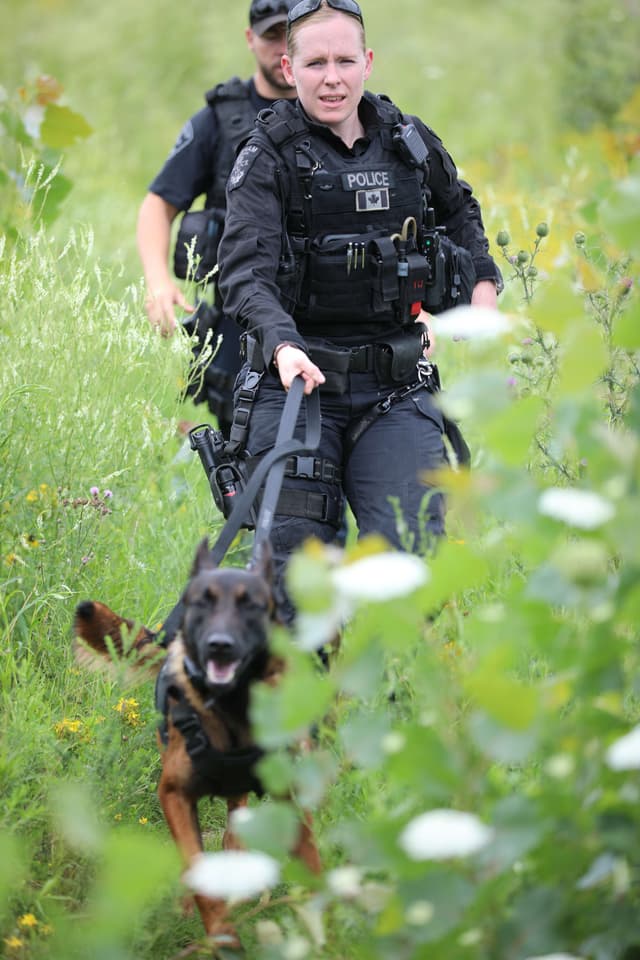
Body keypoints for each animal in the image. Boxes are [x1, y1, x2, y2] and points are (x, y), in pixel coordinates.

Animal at [74, 540, 320, 952]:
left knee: (235, 826)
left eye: (251, 606)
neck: (232, 708)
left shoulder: (292, 798)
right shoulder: (173, 793)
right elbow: (197, 870)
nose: (219, 646)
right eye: (201, 603)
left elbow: (315, 872)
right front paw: (221, 936)